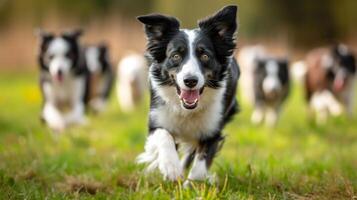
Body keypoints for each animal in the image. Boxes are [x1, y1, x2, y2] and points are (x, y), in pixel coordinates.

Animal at [136, 5, 239, 184]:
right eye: (175, 56)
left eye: (205, 55)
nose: (190, 81)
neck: (186, 110)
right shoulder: (156, 121)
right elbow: (164, 136)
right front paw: (171, 168)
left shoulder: (212, 130)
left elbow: (199, 168)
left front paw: (190, 185)